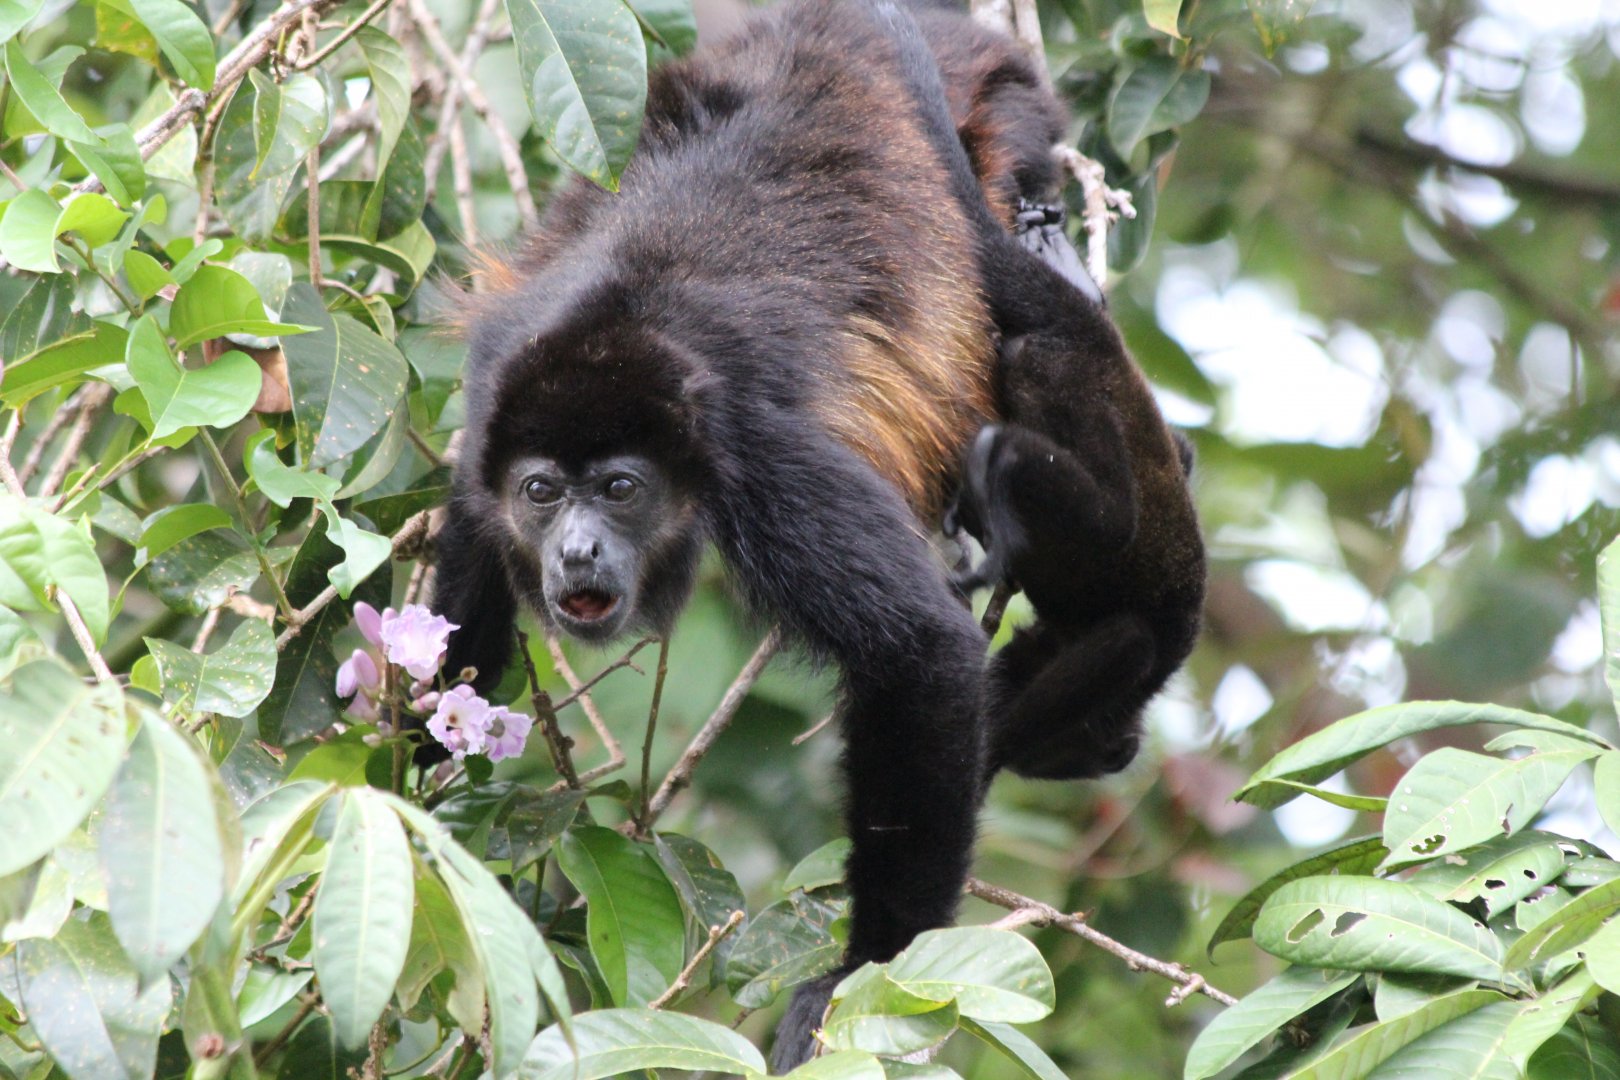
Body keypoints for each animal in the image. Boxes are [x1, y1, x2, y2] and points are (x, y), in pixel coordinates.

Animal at [430, 0, 1204, 1068]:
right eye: (542, 492)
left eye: (621, 490)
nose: (576, 550)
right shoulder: (491, 416)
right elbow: (465, 592)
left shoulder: (762, 461)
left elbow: (920, 651)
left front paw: (865, 971)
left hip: (1009, 108)